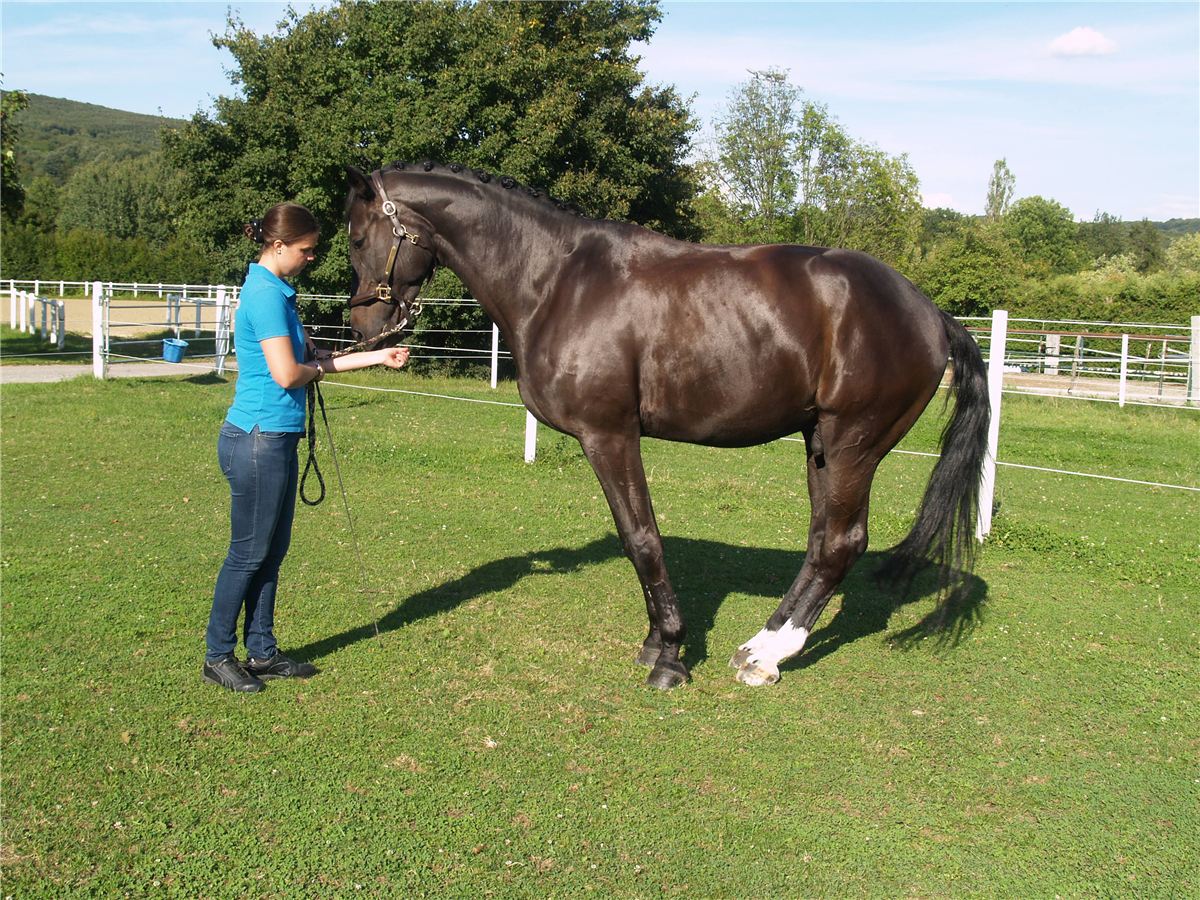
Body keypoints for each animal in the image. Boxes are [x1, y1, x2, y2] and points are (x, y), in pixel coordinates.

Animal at [343, 162, 990, 690]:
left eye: (356, 237)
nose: (363, 328)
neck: (557, 281)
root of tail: (930, 311)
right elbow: (636, 541)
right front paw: (657, 641)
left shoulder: (609, 436)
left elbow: (642, 539)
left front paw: (671, 655)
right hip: (820, 446)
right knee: (820, 541)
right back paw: (761, 644)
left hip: (853, 443)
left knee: (840, 543)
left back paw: (767, 656)